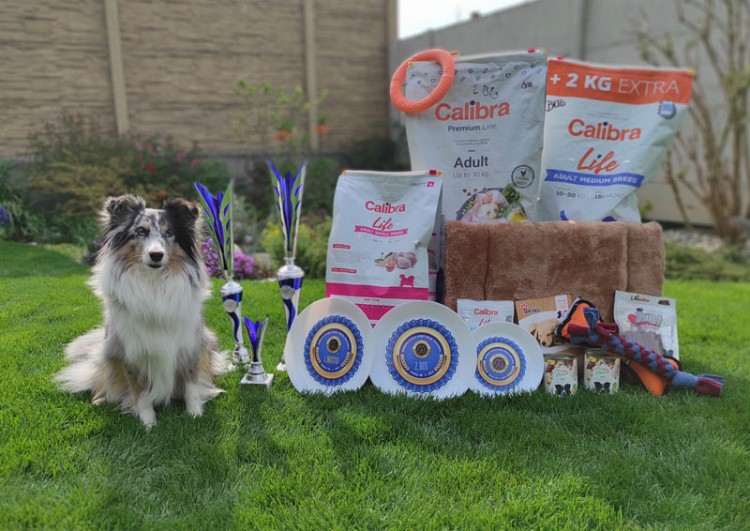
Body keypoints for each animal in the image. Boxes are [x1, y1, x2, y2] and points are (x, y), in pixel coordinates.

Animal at [55, 195, 227, 428]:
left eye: (169, 233)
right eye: (140, 231)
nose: (156, 255)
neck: (154, 283)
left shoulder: (190, 346)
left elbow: (191, 385)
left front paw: (195, 414)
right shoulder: (133, 352)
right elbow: (141, 392)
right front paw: (148, 423)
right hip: (107, 352)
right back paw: (100, 398)